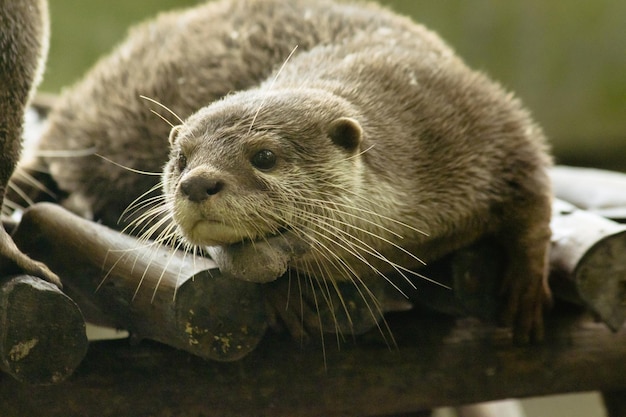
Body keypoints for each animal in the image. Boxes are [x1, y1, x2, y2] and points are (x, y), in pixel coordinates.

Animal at [22, 0, 548, 342]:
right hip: (98, 113)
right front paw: (284, 299)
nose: (197, 183)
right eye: (181, 160)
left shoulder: (480, 118)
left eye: (264, 157)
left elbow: (534, 188)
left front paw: (527, 284)